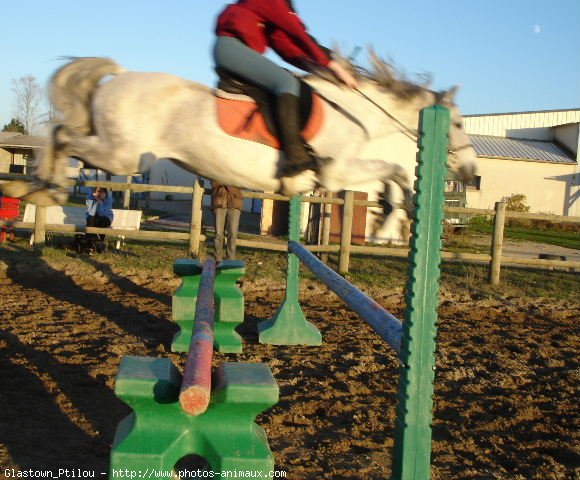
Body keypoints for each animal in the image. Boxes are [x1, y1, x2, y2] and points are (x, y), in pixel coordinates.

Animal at [3, 55, 476, 229]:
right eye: (457, 123)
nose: (472, 173)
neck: (353, 110)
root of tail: (121, 77)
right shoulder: (336, 171)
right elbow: (394, 170)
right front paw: (400, 211)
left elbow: (390, 173)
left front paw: (389, 214)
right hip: (121, 155)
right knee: (63, 136)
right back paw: (38, 189)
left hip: (119, 151)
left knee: (65, 138)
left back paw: (36, 187)